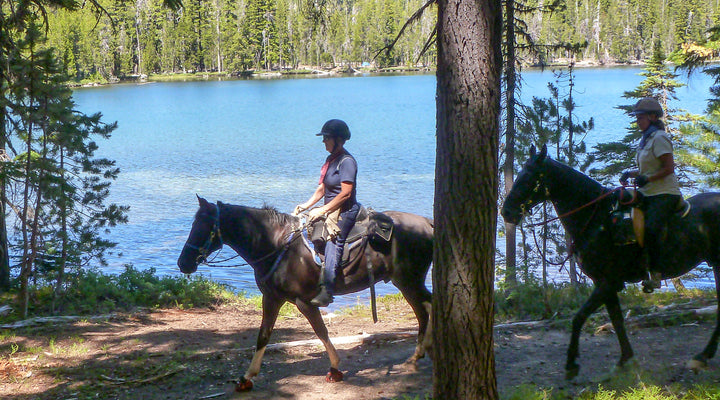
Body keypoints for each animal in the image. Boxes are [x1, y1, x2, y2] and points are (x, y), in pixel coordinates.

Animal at [177, 196, 433, 391]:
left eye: (204, 227)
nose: (183, 263)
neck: (276, 246)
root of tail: (428, 223)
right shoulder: (271, 299)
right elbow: (263, 336)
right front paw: (247, 377)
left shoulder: (305, 302)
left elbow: (321, 332)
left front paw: (335, 369)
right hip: (406, 282)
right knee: (426, 308)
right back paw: (422, 352)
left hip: (409, 281)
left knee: (425, 308)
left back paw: (418, 354)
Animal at [501, 144, 720, 379]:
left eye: (528, 178)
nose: (506, 212)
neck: (597, 220)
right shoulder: (604, 283)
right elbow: (616, 319)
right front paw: (626, 360)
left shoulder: (608, 282)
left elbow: (579, 317)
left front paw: (571, 363)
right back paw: (704, 355)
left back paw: (702, 356)